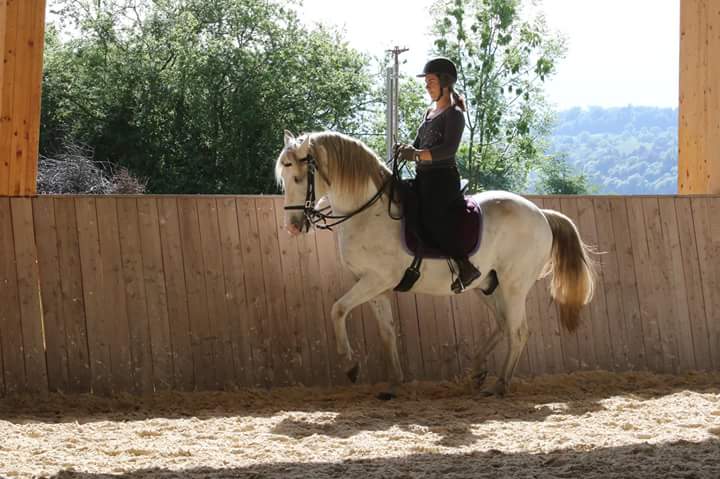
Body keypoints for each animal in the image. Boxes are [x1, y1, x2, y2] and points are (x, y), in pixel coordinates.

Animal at [275, 130, 596, 399]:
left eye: (298, 178)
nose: (293, 226)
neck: (367, 212)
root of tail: (541, 214)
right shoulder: (374, 287)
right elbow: (387, 332)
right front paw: (394, 383)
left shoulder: (376, 280)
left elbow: (338, 309)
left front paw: (350, 366)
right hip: (489, 286)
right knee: (505, 325)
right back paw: (477, 371)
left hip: (513, 287)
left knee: (518, 332)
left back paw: (499, 385)